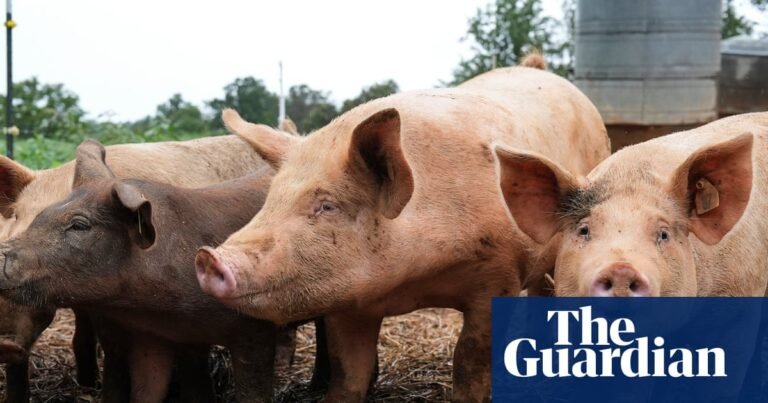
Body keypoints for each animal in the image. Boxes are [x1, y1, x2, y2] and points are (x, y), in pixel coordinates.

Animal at [195, 61, 610, 401]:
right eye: (271, 197)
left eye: (327, 205)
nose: (209, 257)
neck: (412, 283)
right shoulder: (349, 304)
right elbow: (348, 374)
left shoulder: (499, 275)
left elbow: (470, 361)